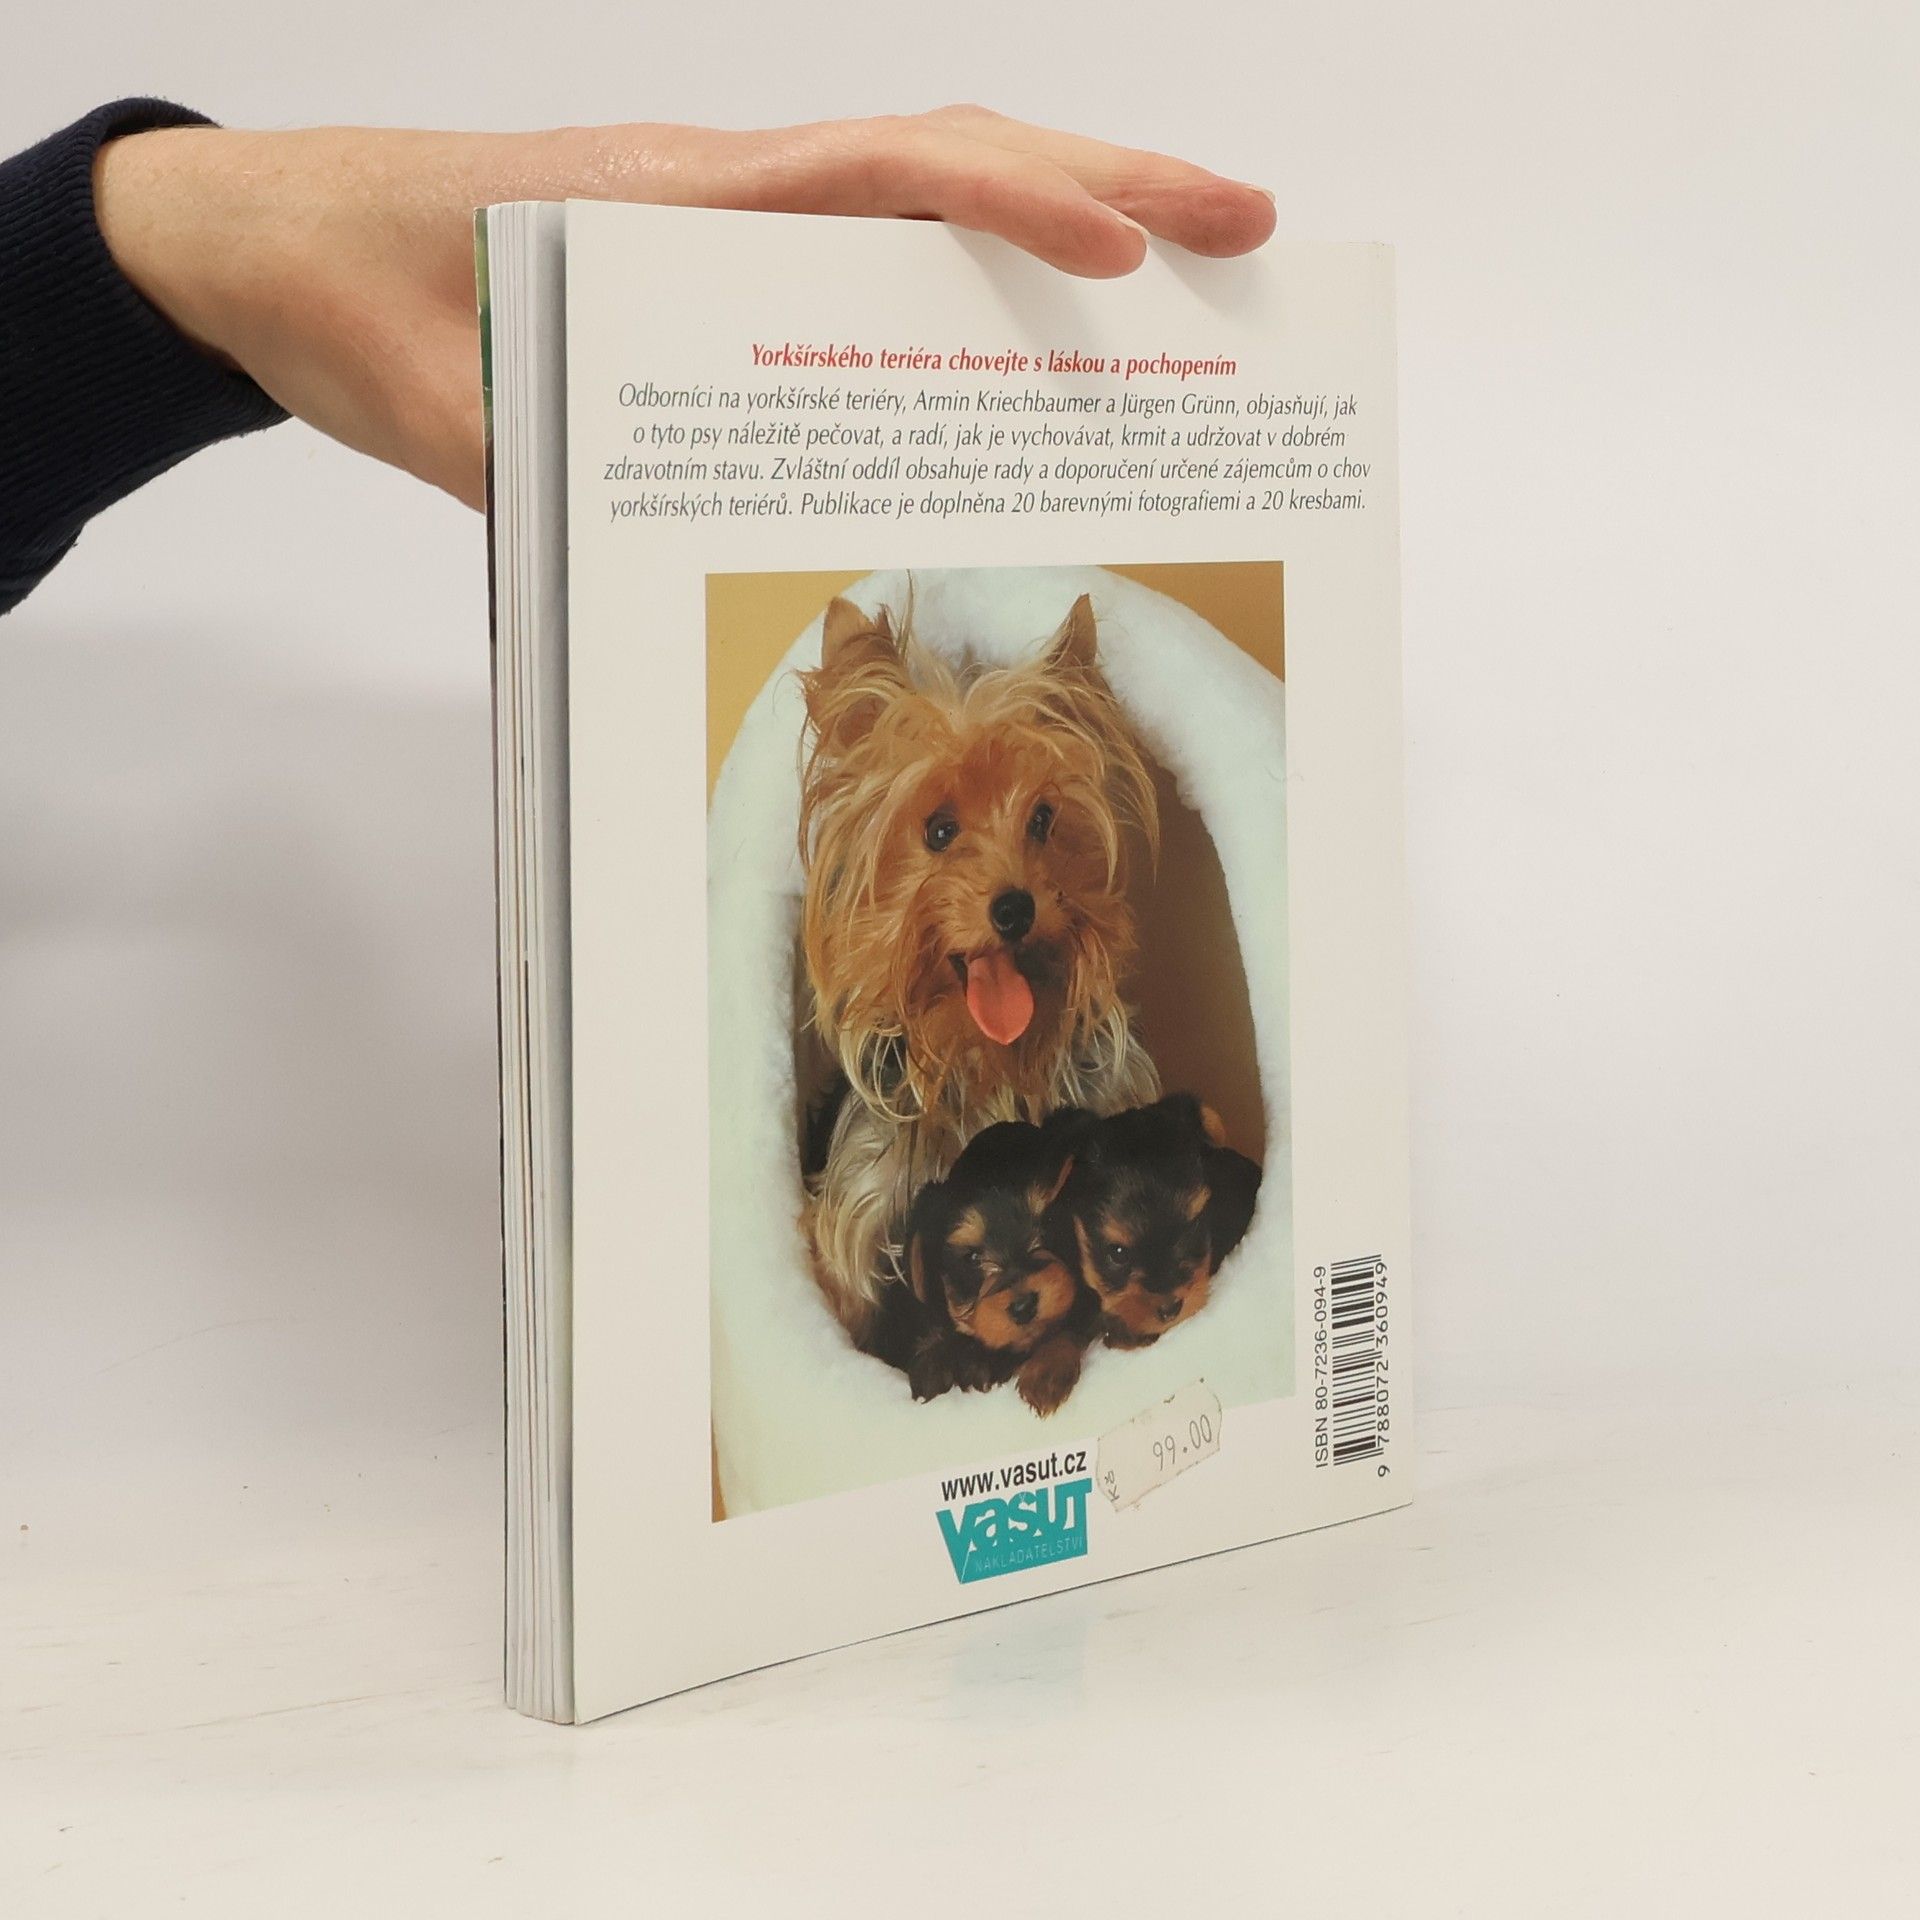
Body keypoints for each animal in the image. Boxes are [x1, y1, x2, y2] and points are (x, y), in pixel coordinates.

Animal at [871, 1120, 1096, 1415]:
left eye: (1046, 1225)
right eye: (973, 1258)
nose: (1024, 1307)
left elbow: (1069, 1326)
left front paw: (1045, 1372)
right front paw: (934, 1362)